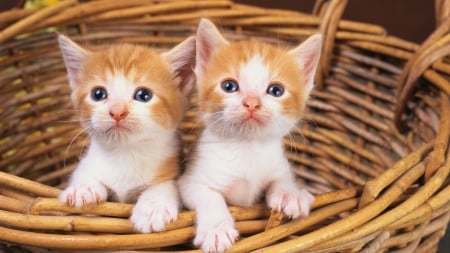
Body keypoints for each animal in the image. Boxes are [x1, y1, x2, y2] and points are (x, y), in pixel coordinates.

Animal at [58, 34, 195, 232]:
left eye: (143, 95)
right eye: (98, 94)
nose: (117, 111)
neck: (125, 153)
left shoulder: (175, 165)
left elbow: (167, 185)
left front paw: (153, 207)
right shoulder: (89, 160)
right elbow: (82, 171)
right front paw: (83, 188)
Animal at [178, 18, 322, 252]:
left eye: (276, 90)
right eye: (229, 86)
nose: (252, 103)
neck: (247, 146)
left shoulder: (278, 164)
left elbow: (282, 178)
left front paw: (291, 194)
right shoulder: (191, 179)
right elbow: (209, 196)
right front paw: (217, 229)